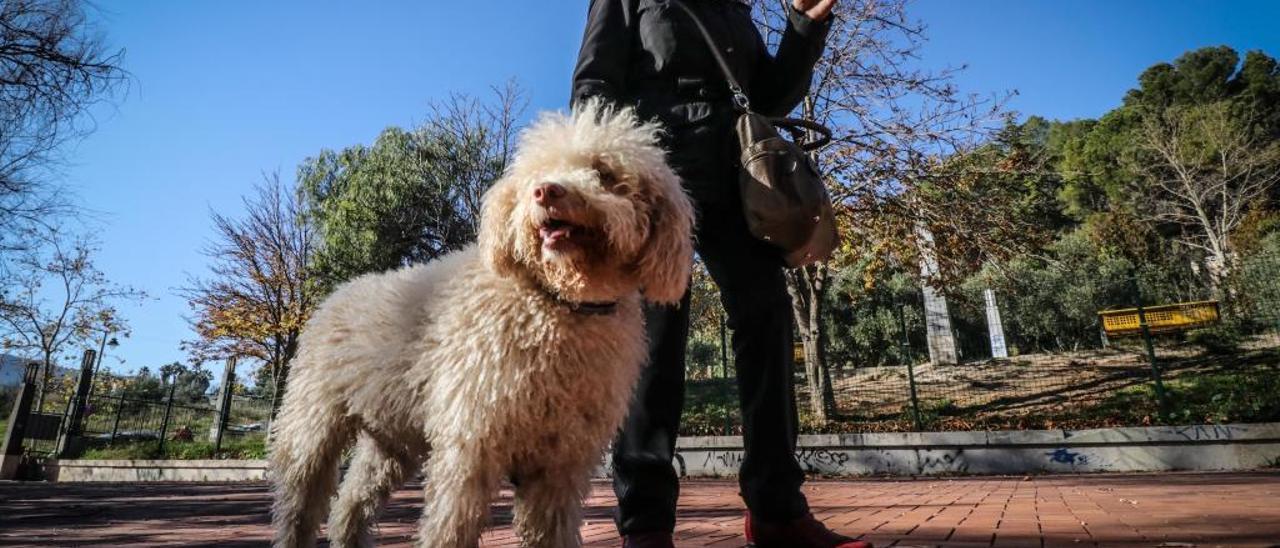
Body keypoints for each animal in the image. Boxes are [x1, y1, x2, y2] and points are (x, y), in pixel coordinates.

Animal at [264, 103, 696, 548]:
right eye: (536, 173)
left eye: (604, 172)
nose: (546, 191)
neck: (555, 303)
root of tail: (338, 294)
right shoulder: (471, 441)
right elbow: (450, 527)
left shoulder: (562, 462)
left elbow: (551, 529)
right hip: (312, 425)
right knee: (301, 506)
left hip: (391, 441)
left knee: (349, 504)